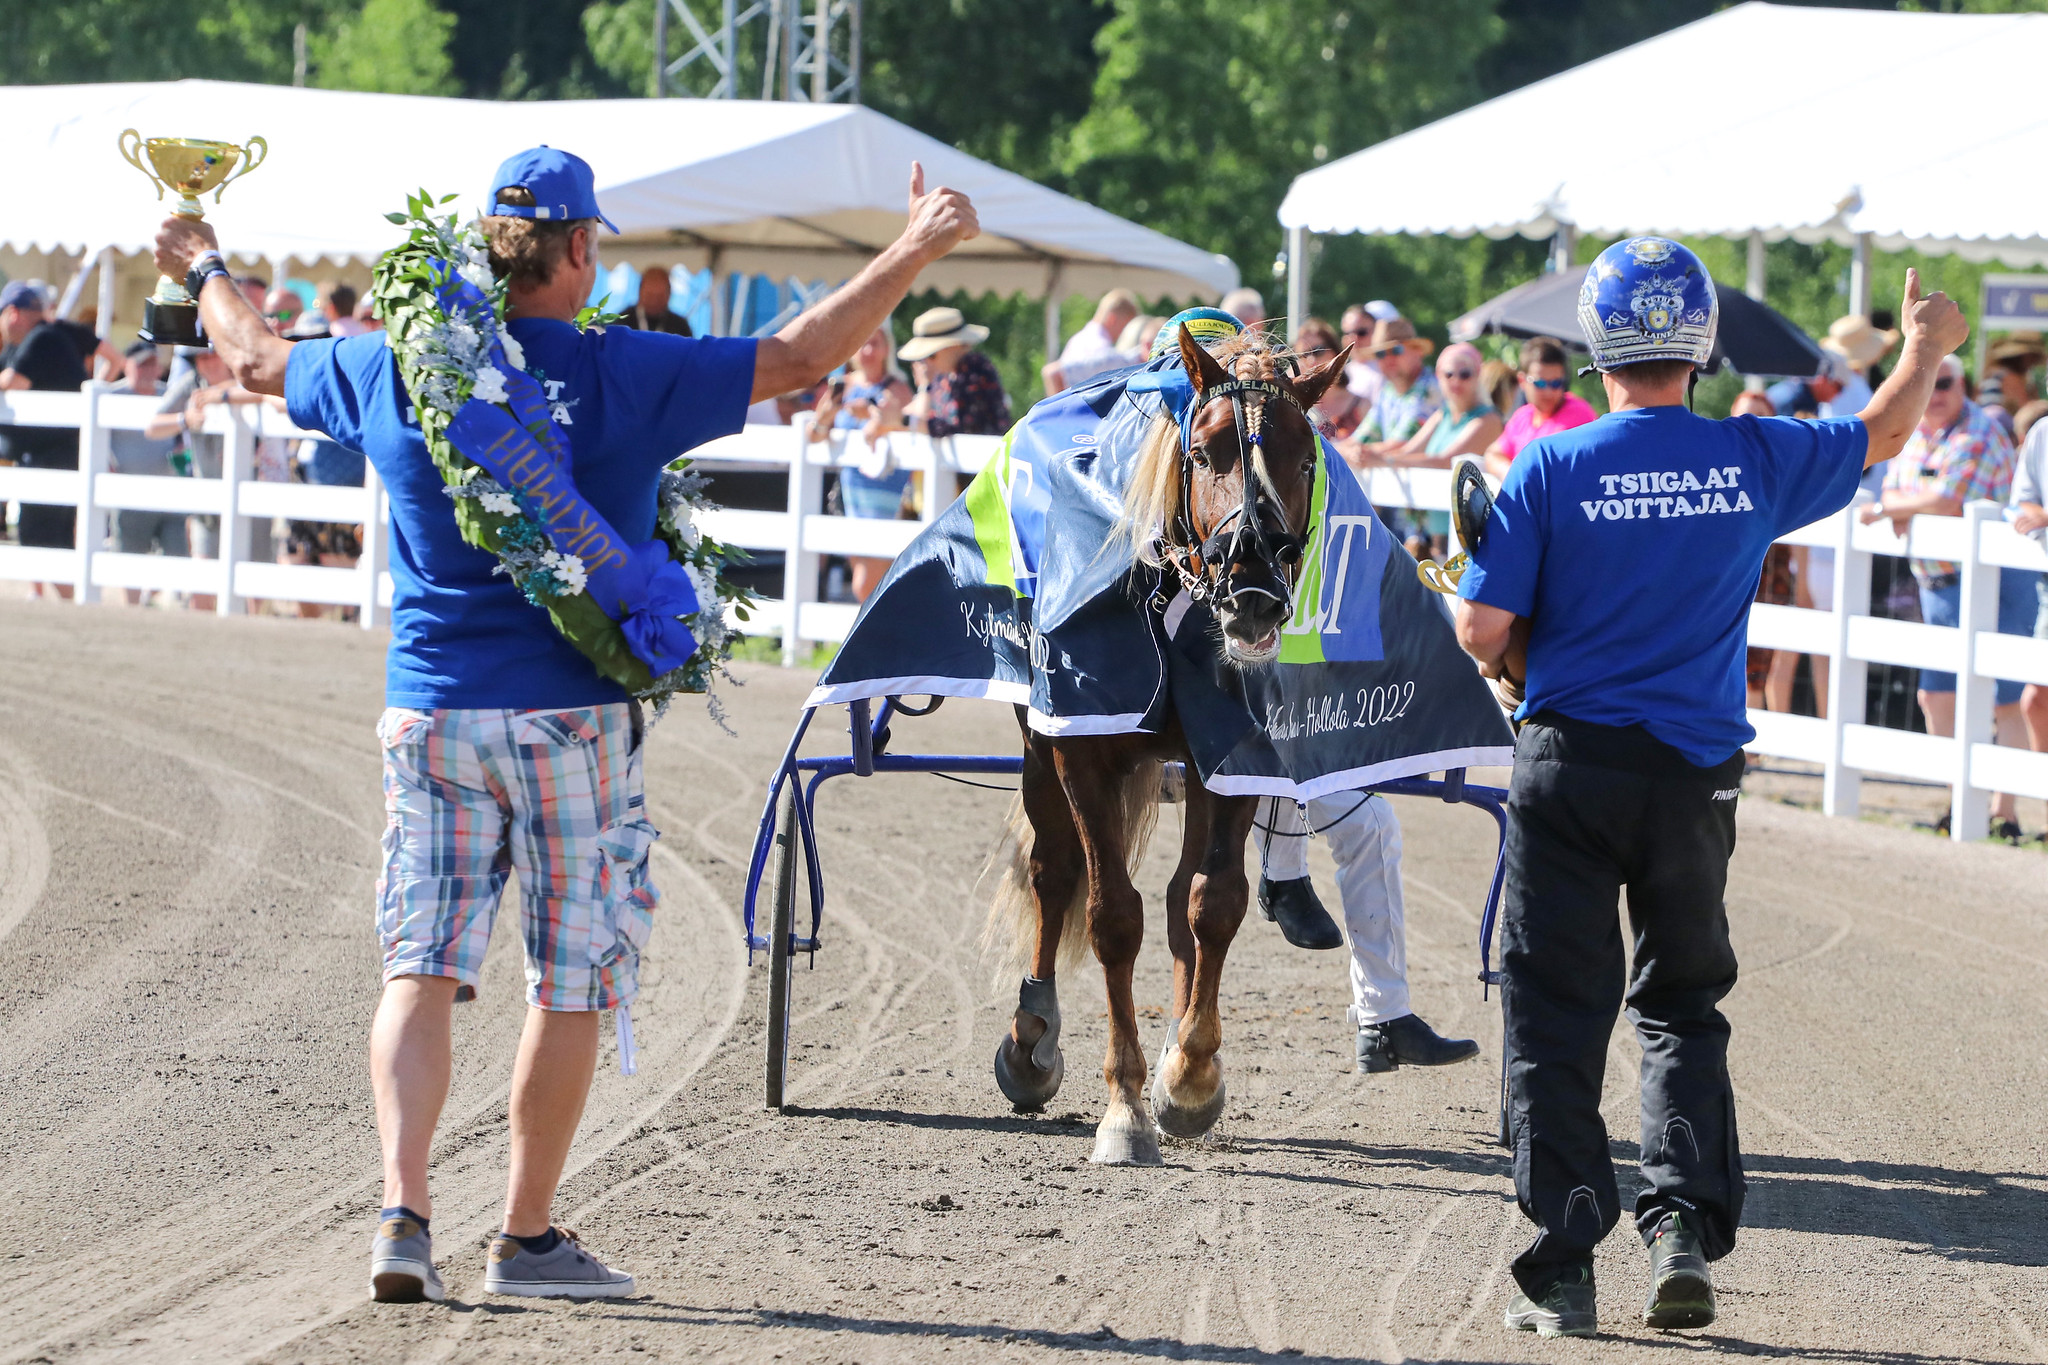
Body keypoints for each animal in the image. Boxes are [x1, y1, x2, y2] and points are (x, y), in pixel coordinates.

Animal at [987, 327, 1351, 1162]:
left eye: (1305, 458)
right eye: (1209, 451)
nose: (1254, 586)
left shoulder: (1235, 751)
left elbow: (1212, 904)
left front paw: (1188, 1072)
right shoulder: (1081, 749)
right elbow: (1112, 915)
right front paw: (1124, 1105)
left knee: (1184, 891)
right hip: (1037, 740)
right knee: (1052, 870)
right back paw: (1033, 1036)